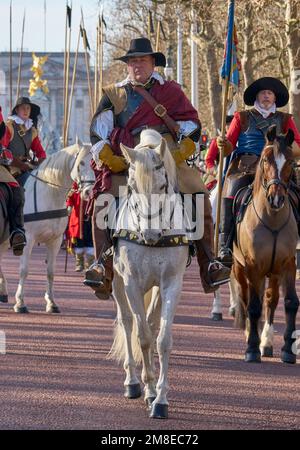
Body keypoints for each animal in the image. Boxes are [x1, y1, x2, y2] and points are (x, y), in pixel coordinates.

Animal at [0, 142, 94, 312]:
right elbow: (24, 271)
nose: (89, 192)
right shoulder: (27, 239)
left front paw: (51, 302)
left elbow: (50, 272)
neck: (50, 194)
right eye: (81, 163)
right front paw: (20, 302)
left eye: (94, 163)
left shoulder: (55, 241)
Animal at [106, 129, 189, 418]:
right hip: (119, 284)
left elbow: (161, 339)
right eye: (132, 187)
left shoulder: (171, 284)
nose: (150, 236)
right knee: (127, 322)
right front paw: (149, 388)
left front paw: (160, 399)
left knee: (151, 325)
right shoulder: (131, 282)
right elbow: (141, 336)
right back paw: (132, 382)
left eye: (163, 186)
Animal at [233, 125, 298, 364]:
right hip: (239, 268)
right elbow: (252, 306)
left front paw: (288, 349)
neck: (272, 219)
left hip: (273, 271)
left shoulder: (288, 263)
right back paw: (250, 336)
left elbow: (290, 302)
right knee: (246, 299)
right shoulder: (253, 266)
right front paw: (251, 348)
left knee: (270, 299)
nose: (276, 199)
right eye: (265, 160)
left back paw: (267, 342)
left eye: (291, 161)